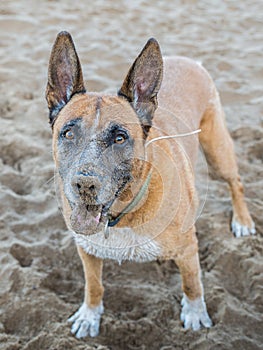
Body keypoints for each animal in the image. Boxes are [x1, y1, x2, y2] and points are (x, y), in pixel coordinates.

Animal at [44, 31, 256, 338]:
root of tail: (189, 60)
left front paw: (195, 314)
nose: (84, 185)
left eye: (120, 138)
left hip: (218, 152)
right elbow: (93, 285)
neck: (122, 214)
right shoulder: (86, 250)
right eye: (68, 133)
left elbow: (192, 283)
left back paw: (243, 221)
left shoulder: (187, 249)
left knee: (236, 183)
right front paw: (90, 315)